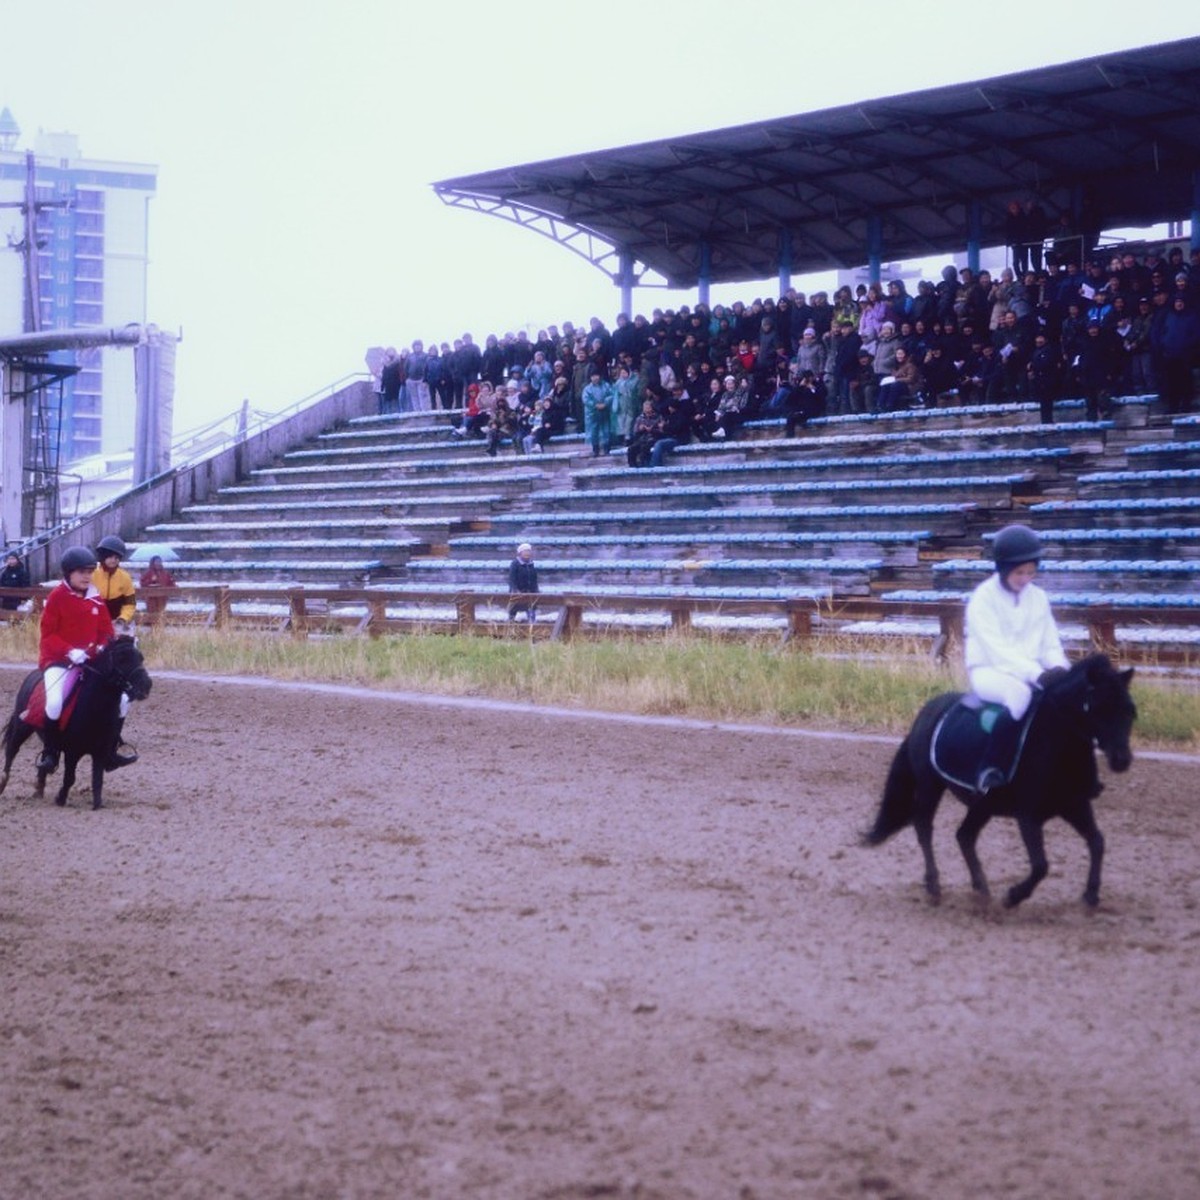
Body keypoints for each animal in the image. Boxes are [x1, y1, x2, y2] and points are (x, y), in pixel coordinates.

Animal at [0, 633, 152, 811]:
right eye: (122, 658)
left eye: (141, 657)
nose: (146, 685)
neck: (95, 706)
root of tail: (33, 675)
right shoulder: (72, 752)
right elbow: (70, 778)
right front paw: (60, 799)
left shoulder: (101, 752)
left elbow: (97, 781)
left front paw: (97, 806)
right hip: (22, 727)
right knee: (12, 750)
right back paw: (3, 782)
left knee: (44, 755)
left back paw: (39, 789)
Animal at [864, 657, 1132, 907]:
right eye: (1097, 707)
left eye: (1129, 710)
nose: (1122, 760)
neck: (1053, 742)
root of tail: (928, 711)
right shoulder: (1028, 816)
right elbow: (1041, 865)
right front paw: (1013, 896)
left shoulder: (1075, 806)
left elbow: (1097, 842)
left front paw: (1091, 894)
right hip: (930, 787)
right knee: (924, 828)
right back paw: (934, 884)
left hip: (983, 805)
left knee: (964, 836)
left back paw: (981, 887)